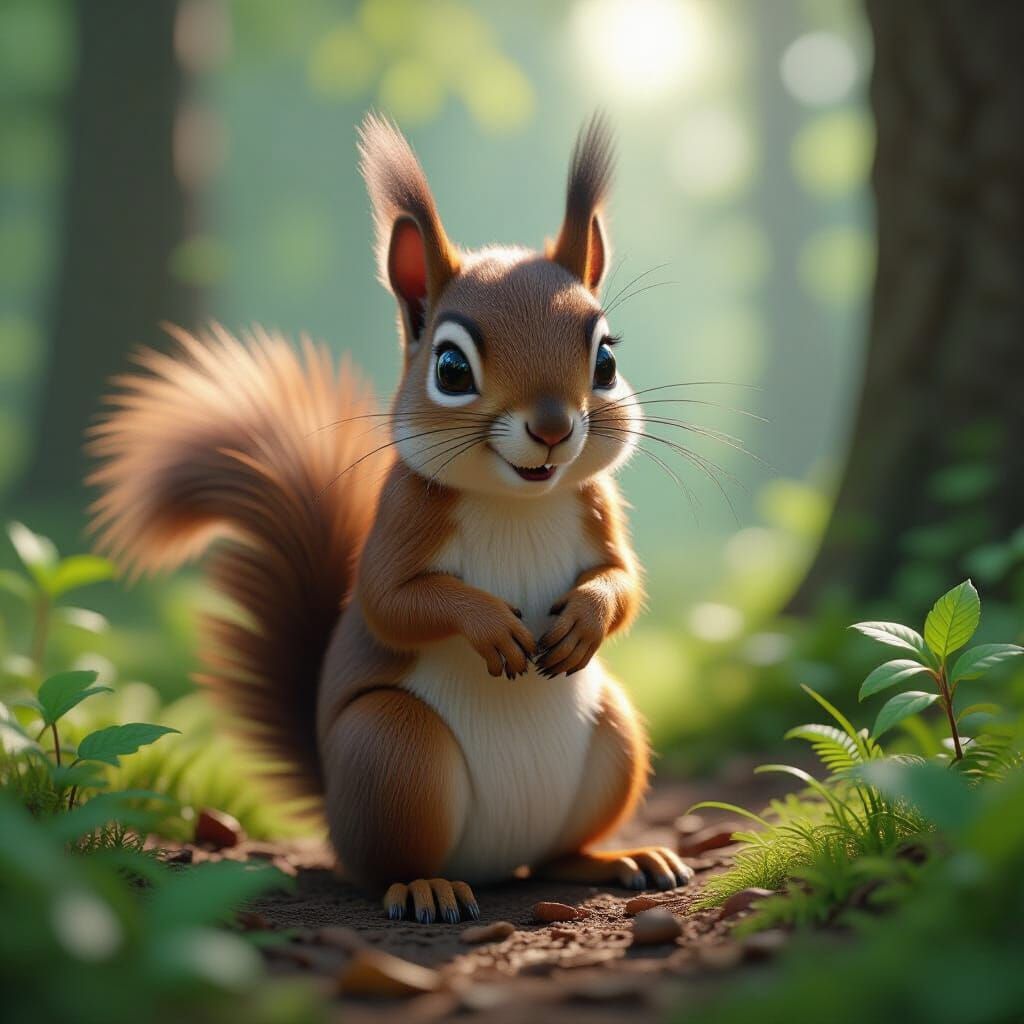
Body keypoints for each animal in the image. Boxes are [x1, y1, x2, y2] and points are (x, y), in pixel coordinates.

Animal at [89, 113, 692, 924]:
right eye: (451, 369)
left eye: (606, 361)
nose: (553, 429)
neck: (518, 500)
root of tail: (495, 866)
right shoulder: (402, 517)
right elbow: (391, 601)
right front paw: (488, 626)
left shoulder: (597, 508)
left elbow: (623, 580)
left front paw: (584, 619)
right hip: (393, 752)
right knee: (383, 865)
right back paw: (425, 887)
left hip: (616, 735)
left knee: (557, 853)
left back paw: (617, 856)